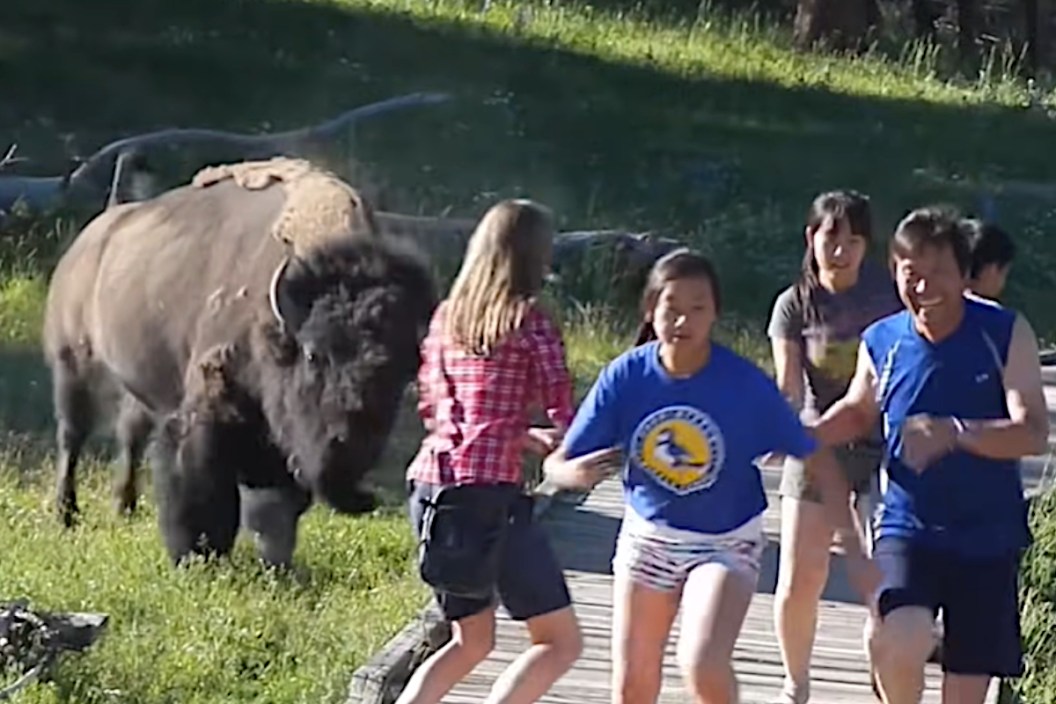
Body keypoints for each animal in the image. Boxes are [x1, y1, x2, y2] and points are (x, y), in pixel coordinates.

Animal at [42, 157, 438, 566]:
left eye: (401, 373)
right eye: (312, 354)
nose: (360, 489)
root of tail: (97, 233)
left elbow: (274, 509)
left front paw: (276, 565)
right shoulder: (209, 409)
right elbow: (205, 488)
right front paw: (198, 558)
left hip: (140, 386)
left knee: (129, 436)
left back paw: (124, 508)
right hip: (72, 364)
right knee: (72, 437)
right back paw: (66, 514)